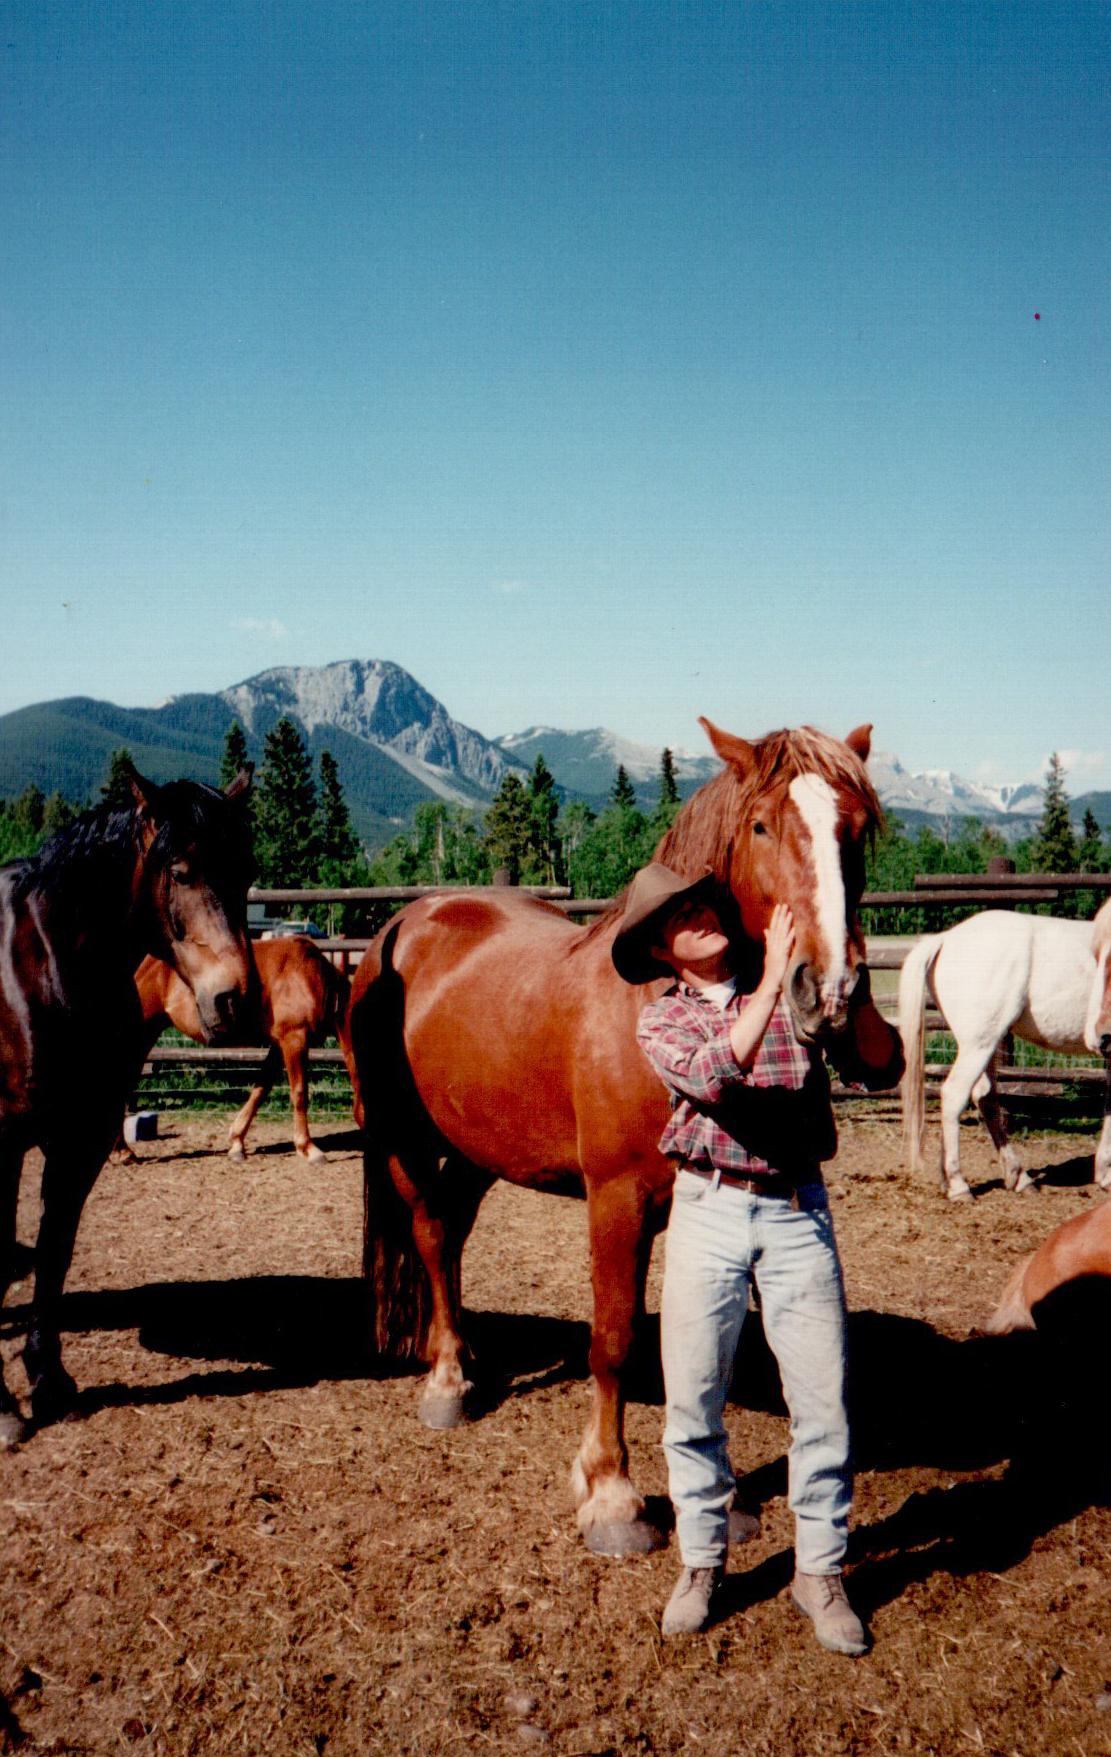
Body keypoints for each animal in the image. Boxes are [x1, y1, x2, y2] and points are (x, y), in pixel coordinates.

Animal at [0, 769, 253, 1440]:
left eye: (246, 873)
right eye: (182, 871)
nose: (233, 1000)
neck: (41, 969)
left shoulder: (81, 1137)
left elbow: (55, 1251)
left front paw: (48, 1380)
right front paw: (4, 1407)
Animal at [133, 934, 360, 1166]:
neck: (310, 978)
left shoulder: (278, 1045)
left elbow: (261, 1089)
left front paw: (237, 1143)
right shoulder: (294, 1039)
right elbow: (299, 1093)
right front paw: (308, 1148)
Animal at [351, 720, 907, 1560]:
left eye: (856, 829)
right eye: (761, 825)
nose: (831, 991)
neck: (654, 998)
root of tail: (403, 925)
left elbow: (709, 1350)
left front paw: (720, 1499)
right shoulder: (616, 1200)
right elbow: (611, 1340)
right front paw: (611, 1494)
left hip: (482, 1146)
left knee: (451, 1233)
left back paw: (469, 1357)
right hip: (400, 1139)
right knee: (429, 1229)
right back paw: (446, 1379)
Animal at [900, 899, 1111, 1201]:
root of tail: (945, 939)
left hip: (985, 1044)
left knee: (985, 1097)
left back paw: (1016, 1177)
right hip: (979, 1044)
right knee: (954, 1095)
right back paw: (959, 1186)